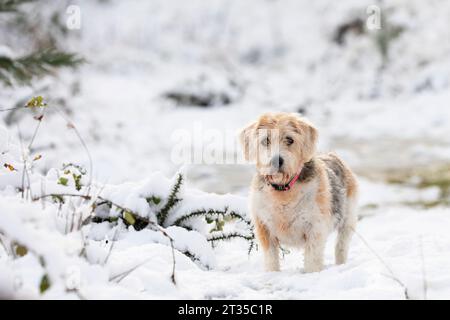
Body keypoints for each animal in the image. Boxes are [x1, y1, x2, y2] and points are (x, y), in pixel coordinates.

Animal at [239, 112, 358, 272]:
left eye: (290, 139)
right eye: (266, 140)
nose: (276, 161)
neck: (283, 190)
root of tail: (332, 155)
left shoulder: (315, 228)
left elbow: (312, 258)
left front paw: (312, 273)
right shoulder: (264, 228)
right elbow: (271, 258)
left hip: (348, 221)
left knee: (341, 246)